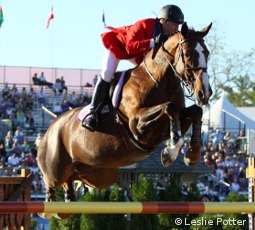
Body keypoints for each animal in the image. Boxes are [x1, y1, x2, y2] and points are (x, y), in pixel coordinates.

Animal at [37, 22, 212, 218]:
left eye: (207, 53)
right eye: (188, 54)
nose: (204, 93)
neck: (161, 82)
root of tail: (51, 128)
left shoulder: (173, 120)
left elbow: (195, 111)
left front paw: (192, 155)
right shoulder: (137, 126)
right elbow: (169, 107)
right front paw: (170, 152)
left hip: (99, 174)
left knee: (73, 177)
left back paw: (67, 202)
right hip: (56, 167)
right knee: (51, 181)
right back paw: (49, 206)